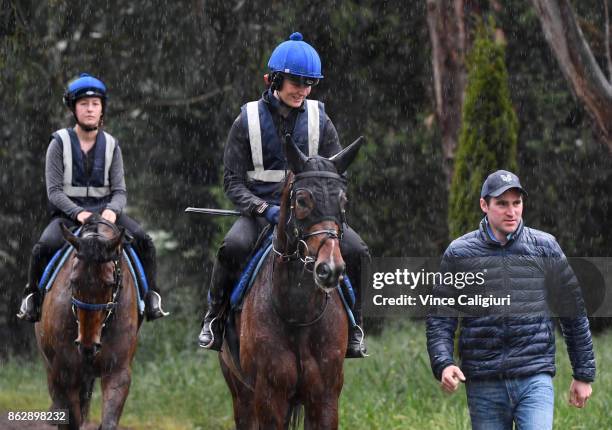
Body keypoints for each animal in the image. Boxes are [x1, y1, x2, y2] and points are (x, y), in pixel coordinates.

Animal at [35, 217, 141, 428]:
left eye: (109, 283)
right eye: (73, 281)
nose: (87, 345)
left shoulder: (118, 371)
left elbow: (108, 421)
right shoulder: (64, 373)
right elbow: (71, 419)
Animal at [220, 134, 364, 426]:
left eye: (343, 201)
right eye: (302, 200)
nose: (330, 268)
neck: (298, 313)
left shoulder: (325, 398)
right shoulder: (269, 397)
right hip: (241, 395)